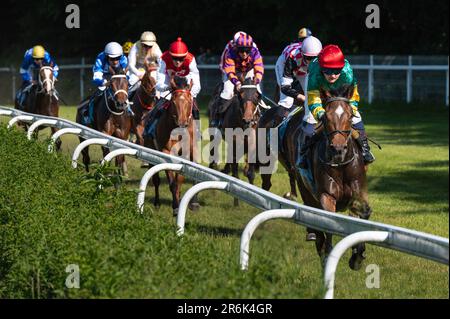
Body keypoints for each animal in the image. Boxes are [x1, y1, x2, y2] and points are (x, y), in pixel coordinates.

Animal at [143, 75, 200, 215]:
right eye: (174, 102)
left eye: (189, 101)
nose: (182, 123)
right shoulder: (165, 152)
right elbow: (172, 181)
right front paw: (175, 206)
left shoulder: (185, 154)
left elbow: (179, 180)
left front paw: (180, 203)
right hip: (150, 150)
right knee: (156, 179)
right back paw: (157, 202)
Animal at [282, 85, 372, 270]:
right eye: (326, 117)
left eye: (350, 116)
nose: (338, 149)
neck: (341, 164)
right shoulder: (326, 196)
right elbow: (327, 222)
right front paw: (329, 255)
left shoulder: (358, 191)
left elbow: (364, 214)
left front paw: (358, 255)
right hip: (305, 188)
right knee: (316, 226)